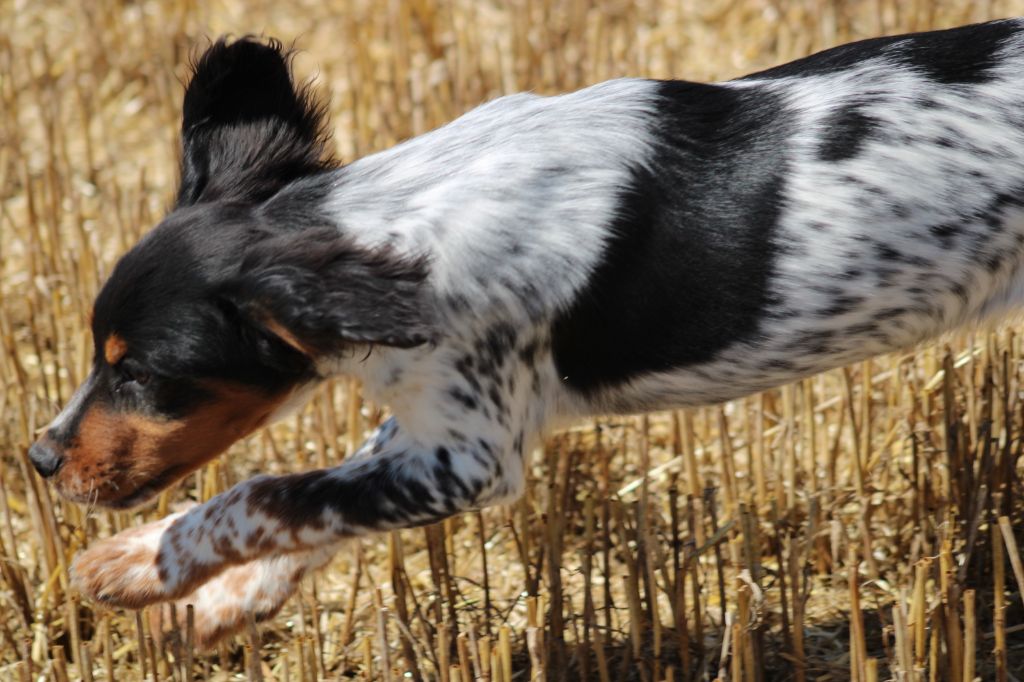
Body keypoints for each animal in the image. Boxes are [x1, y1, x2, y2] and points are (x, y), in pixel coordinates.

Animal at [25, 21, 1024, 647]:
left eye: (140, 372)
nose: (38, 459)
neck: (398, 227)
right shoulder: (436, 423)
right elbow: (315, 505)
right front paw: (215, 606)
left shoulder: (470, 458)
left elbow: (267, 491)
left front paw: (135, 562)